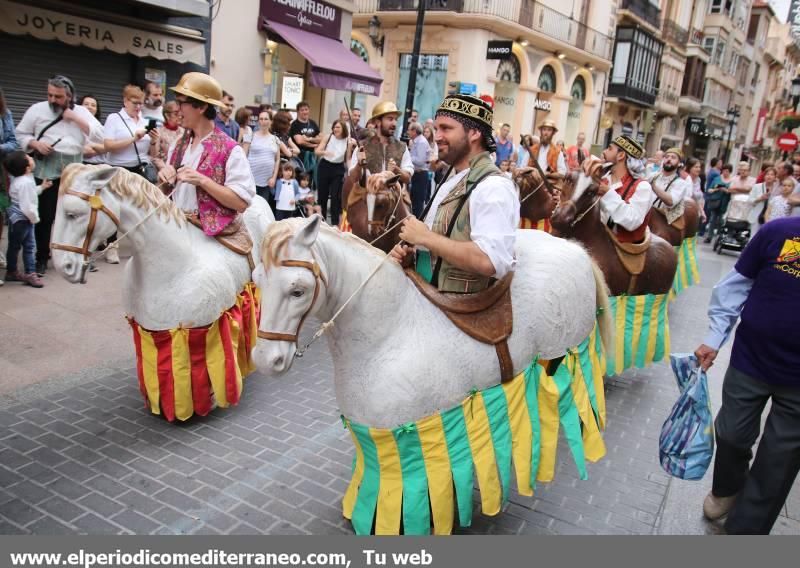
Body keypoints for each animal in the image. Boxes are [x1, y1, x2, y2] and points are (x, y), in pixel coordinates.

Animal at [253, 215, 608, 428]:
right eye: (256, 280)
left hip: (562, 354)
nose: (265, 360)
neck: (387, 335)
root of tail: (575, 249)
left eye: (297, 290)